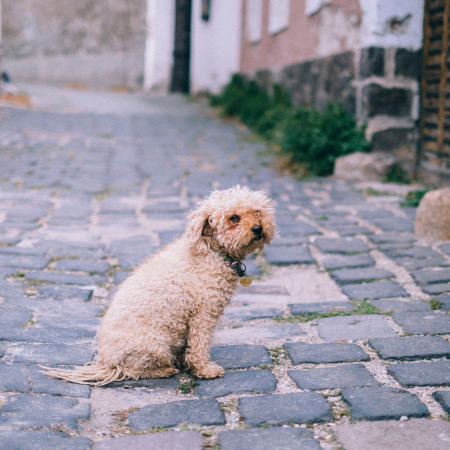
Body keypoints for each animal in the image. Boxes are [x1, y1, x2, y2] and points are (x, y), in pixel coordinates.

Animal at [43, 185, 274, 384]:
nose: (258, 228)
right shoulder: (203, 315)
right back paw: (164, 370)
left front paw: (188, 363)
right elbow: (199, 347)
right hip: (154, 347)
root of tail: (106, 364)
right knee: (134, 371)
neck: (211, 252)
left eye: (257, 212)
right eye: (234, 217)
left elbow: (189, 347)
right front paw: (204, 370)